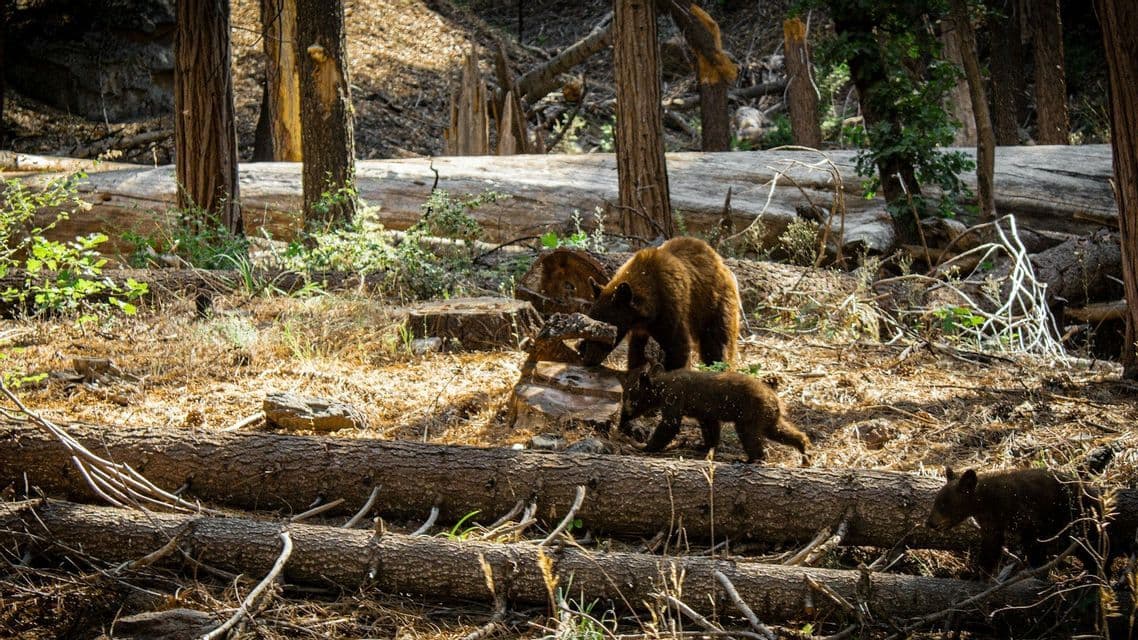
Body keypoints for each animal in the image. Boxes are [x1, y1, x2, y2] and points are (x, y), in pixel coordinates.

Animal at [578, 237, 739, 371]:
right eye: (591, 319)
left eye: (608, 327)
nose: (587, 357)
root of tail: (723, 265)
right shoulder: (640, 330)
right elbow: (636, 352)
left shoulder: (671, 308)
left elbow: (678, 346)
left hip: (714, 305)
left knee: (717, 343)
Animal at [619, 364, 810, 464]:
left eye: (631, 396)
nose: (625, 415)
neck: (661, 387)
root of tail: (776, 399)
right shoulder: (704, 411)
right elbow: (710, 426)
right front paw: (705, 446)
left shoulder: (675, 395)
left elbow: (670, 423)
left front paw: (645, 446)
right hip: (767, 417)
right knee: (781, 431)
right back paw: (805, 449)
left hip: (751, 414)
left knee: (749, 435)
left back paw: (750, 459)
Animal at [925, 467, 1131, 579]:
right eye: (936, 502)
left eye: (943, 504)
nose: (929, 523)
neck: (986, 503)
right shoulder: (992, 525)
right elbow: (990, 549)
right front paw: (978, 575)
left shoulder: (1026, 514)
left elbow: (1034, 544)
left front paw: (1036, 572)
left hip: (1076, 520)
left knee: (1095, 545)